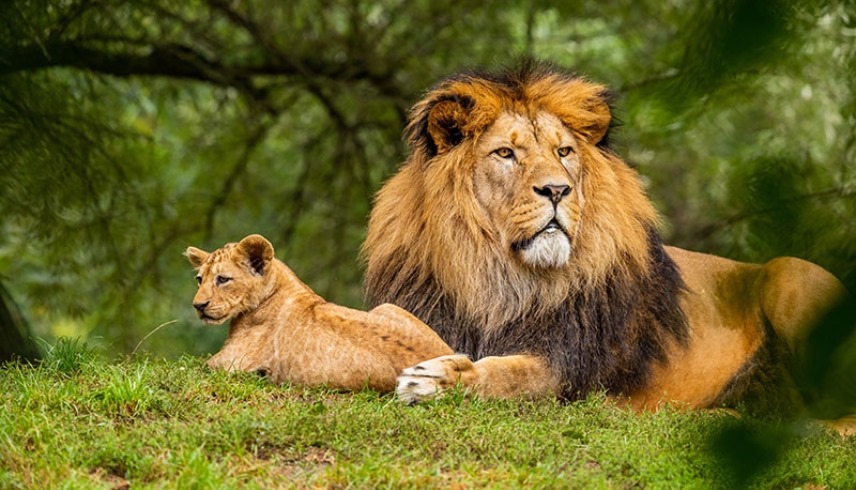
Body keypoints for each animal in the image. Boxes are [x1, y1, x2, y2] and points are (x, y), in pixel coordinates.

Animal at [362, 60, 848, 422]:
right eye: (505, 153)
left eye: (563, 152)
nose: (557, 190)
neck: (498, 277)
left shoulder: (568, 366)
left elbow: (506, 376)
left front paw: (437, 380)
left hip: (790, 275)